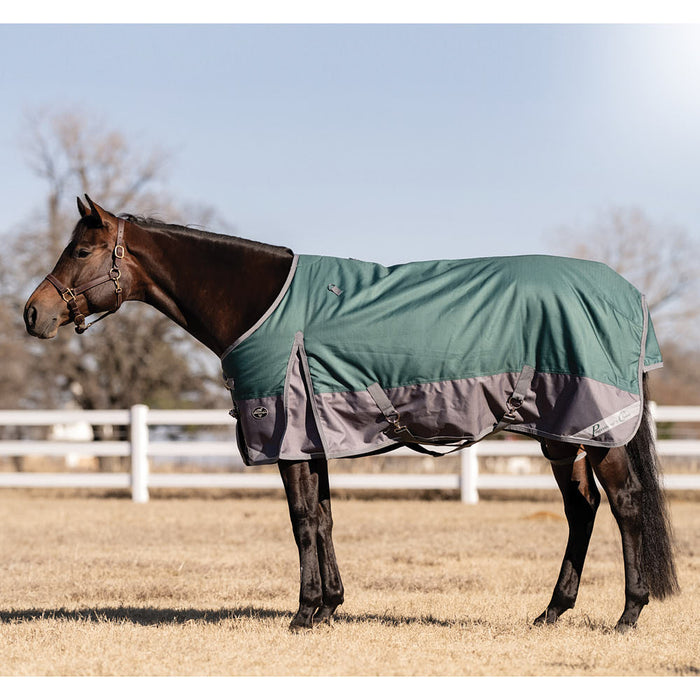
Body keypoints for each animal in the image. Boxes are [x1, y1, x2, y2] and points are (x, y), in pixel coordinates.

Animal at [24, 195, 679, 631]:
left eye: (81, 250)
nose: (33, 314)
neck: (262, 305)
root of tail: (630, 296)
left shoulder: (286, 435)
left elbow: (301, 521)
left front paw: (303, 613)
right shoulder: (313, 437)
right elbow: (325, 518)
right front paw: (330, 607)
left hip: (597, 428)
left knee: (624, 505)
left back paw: (628, 613)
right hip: (559, 433)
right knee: (581, 508)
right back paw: (552, 611)